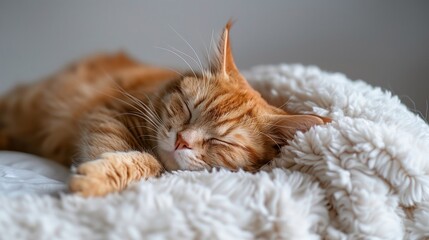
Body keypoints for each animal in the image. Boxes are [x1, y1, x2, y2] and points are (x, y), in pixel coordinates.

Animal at [0, 22, 328, 197]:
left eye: (220, 141)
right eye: (188, 109)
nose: (182, 140)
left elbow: (152, 164)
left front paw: (97, 177)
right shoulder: (108, 114)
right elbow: (142, 159)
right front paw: (97, 176)